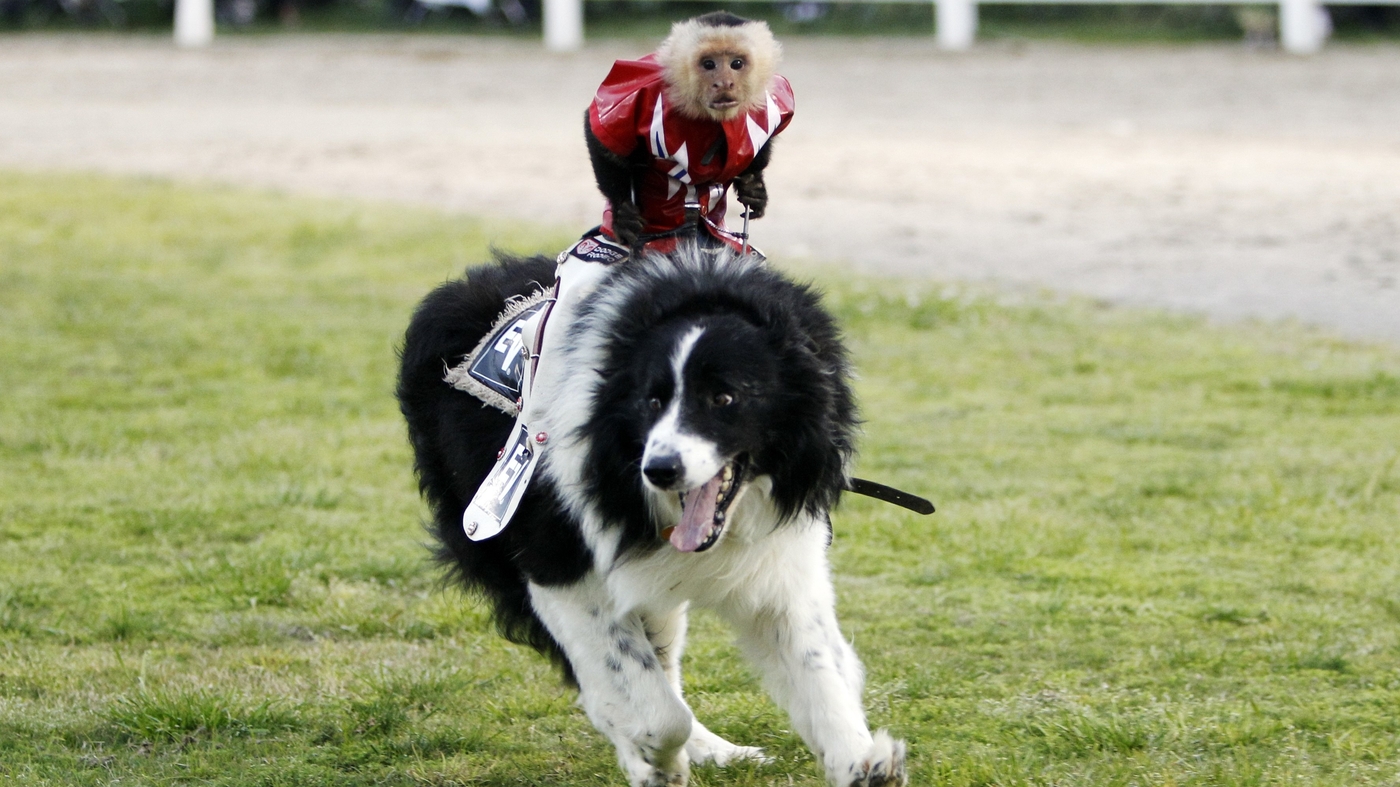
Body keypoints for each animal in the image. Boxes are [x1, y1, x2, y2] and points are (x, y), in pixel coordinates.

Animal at [397, 242, 907, 778]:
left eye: (725, 397)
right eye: (652, 400)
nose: (659, 470)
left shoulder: (780, 562)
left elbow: (819, 670)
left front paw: (868, 764)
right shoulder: (560, 567)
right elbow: (652, 708)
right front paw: (653, 761)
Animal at [585, 13, 795, 250]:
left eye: (737, 64)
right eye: (709, 64)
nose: (724, 83)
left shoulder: (774, 100)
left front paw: (755, 189)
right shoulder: (638, 90)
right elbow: (603, 141)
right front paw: (622, 215)